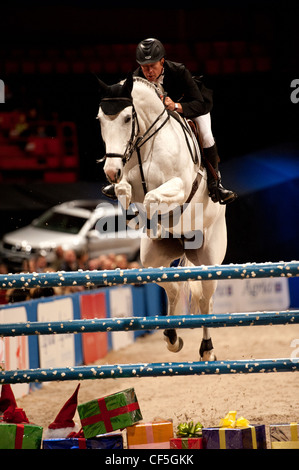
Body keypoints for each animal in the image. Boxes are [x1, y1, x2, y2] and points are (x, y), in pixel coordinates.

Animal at [96, 73, 227, 360]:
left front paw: (153, 220)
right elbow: (124, 192)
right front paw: (138, 218)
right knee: (173, 287)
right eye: (100, 119)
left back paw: (207, 350)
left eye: (127, 118)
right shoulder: (126, 182)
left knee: (205, 301)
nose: (110, 171)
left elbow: (152, 198)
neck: (144, 146)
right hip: (151, 260)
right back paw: (171, 336)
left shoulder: (180, 186)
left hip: (209, 259)